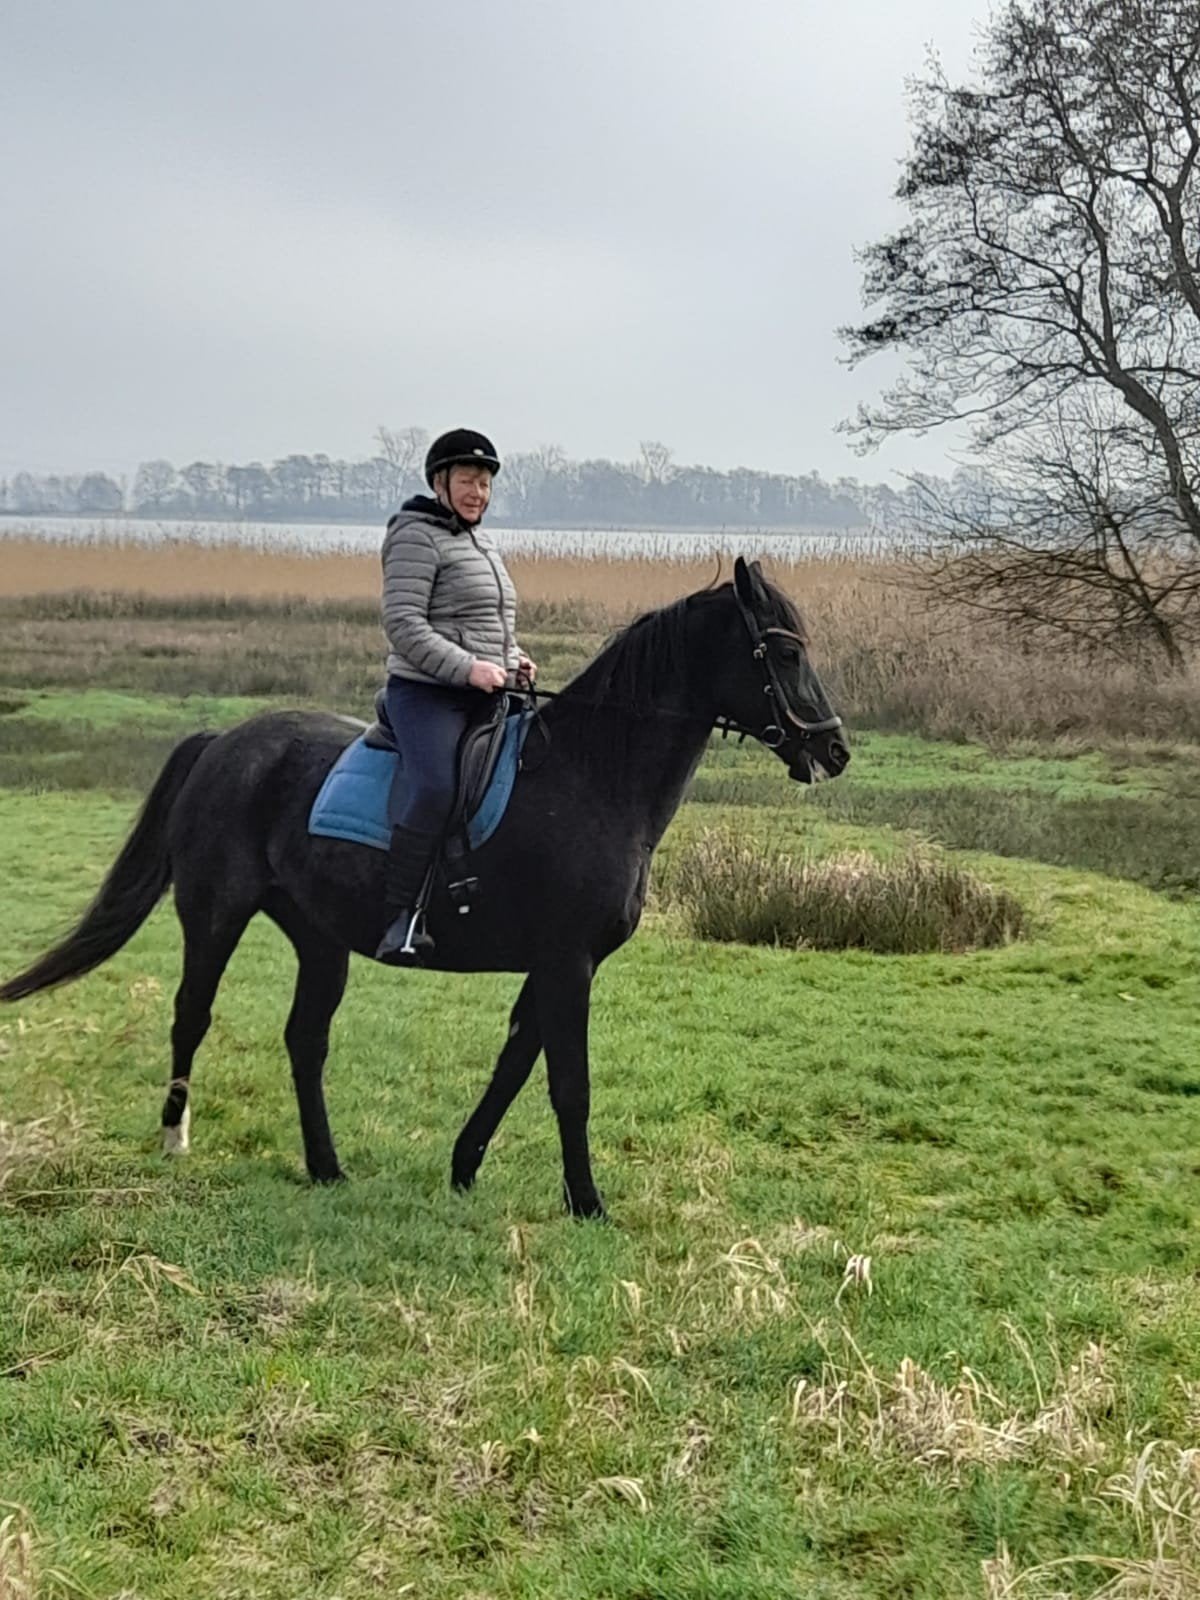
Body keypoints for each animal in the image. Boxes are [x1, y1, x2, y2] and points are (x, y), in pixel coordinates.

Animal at [0, 558, 849, 1218]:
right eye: (781, 650)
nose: (834, 748)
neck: (589, 777)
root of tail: (225, 744)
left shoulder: (553, 965)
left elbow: (515, 1065)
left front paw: (465, 1166)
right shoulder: (568, 962)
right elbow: (567, 1084)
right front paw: (586, 1203)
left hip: (318, 937)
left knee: (305, 1041)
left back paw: (326, 1167)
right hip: (215, 915)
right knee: (192, 1015)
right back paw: (176, 1138)